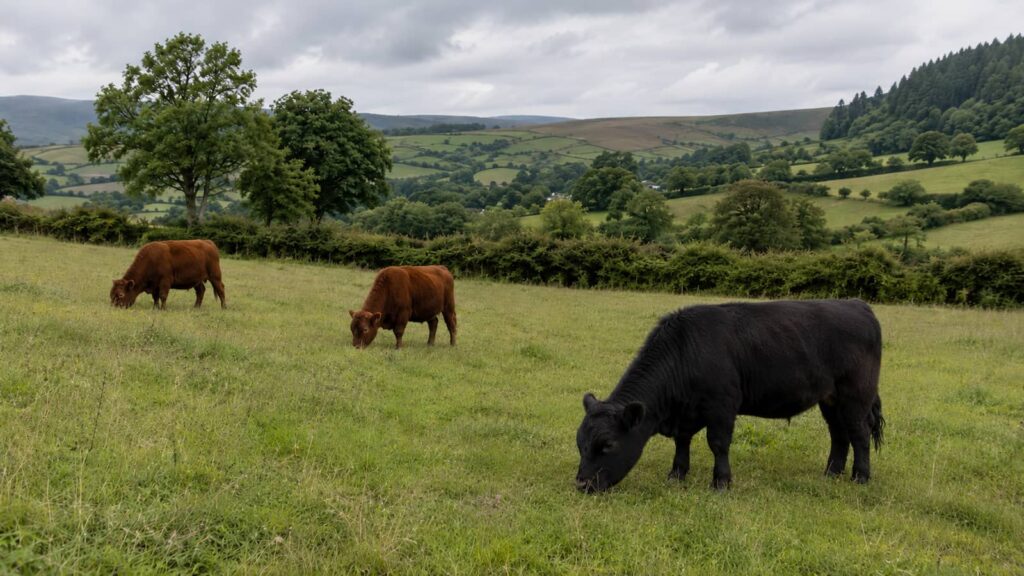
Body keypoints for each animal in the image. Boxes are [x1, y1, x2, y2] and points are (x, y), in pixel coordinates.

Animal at [575, 299, 884, 493]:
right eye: (580, 443)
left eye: (608, 445)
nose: (582, 484)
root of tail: (856, 304)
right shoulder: (686, 413)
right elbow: (682, 442)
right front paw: (676, 475)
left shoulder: (722, 405)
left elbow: (718, 444)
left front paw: (721, 482)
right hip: (830, 399)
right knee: (839, 434)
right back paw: (831, 473)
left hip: (856, 395)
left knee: (859, 433)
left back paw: (860, 477)